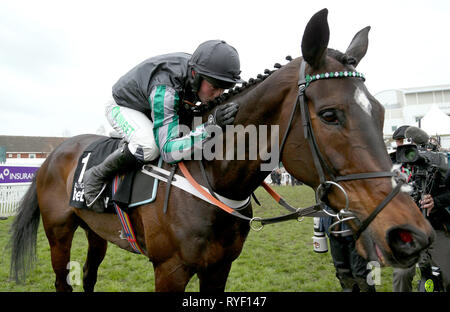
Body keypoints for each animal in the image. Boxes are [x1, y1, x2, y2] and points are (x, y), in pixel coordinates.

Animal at [8, 9, 434, 292]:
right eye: (330, 115)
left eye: (380, 112)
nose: (411, 235)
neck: (212, 180)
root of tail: (54, 154)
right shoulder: (170, 270)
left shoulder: (219, 268)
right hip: (59, 233)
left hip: (95, 231)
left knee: (90, 273)